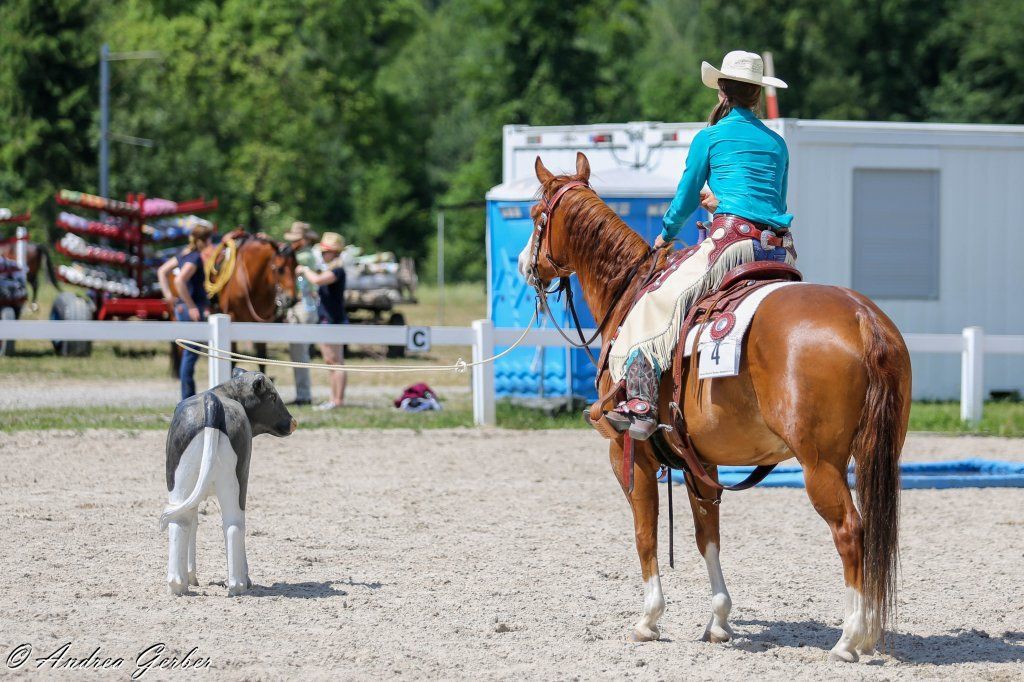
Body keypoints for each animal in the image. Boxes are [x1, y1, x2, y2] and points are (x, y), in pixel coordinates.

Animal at [520, 153, 911, 662]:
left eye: (534, 216)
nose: (525, 266)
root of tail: (864, 319)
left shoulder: (631, 455)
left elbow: (645, 533)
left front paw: (648, 619)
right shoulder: (698, 460)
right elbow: (708, 534)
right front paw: (719, 621)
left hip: (820, 464)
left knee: (850, 531)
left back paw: (849, 639)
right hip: (876, 454)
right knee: (875, 532)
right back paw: (867, 633)